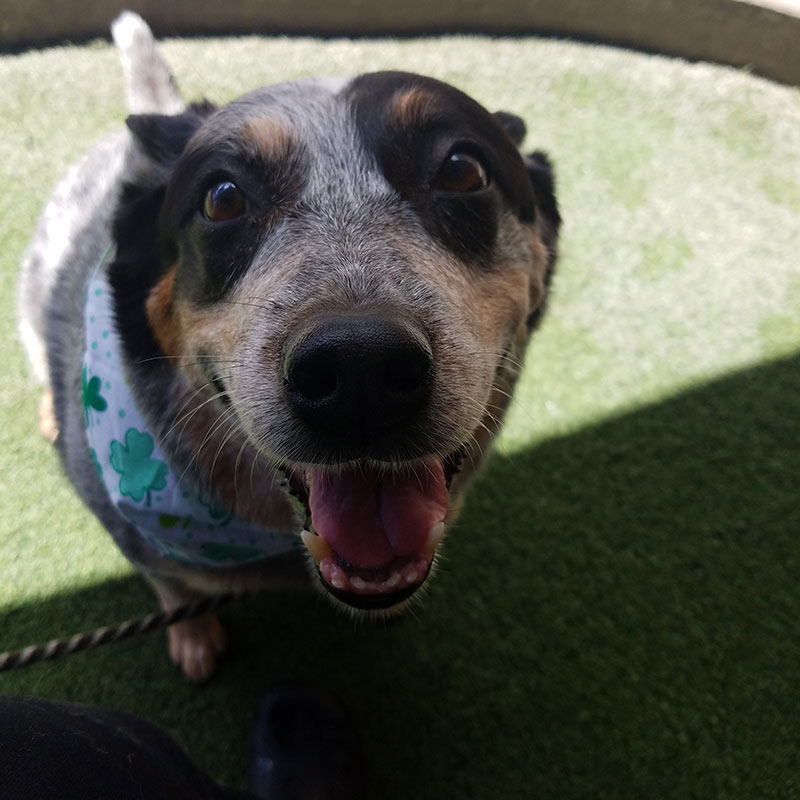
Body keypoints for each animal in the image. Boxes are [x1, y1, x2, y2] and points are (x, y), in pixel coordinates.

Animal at [17, 12, 556, 680]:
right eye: (222, 197)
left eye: (463, 169)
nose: (359, 369)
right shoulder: (127, 526)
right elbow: (170, 583)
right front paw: (193, 633)